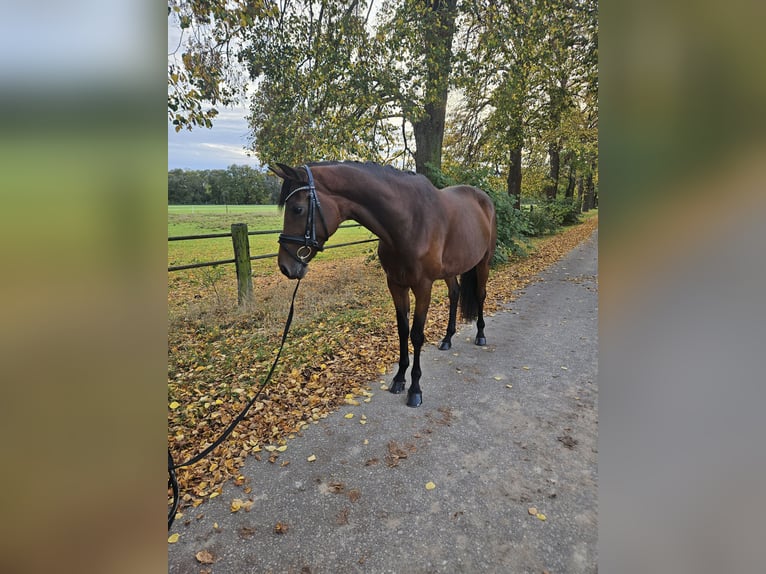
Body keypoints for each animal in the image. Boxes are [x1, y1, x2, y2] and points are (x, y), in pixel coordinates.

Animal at [270, 161, 497, 408]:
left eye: (297, 209)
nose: (285, 267)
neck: (409, 222)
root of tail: (484, 199)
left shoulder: (423, 287)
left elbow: (416, 334)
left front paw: (415, 389)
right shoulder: (396, 285)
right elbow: (402, 330)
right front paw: (399, 379)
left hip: (484, 262)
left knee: (480, 294)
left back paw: (481, 335)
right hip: (451, 270)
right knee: (454, 294)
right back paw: (447, 339)